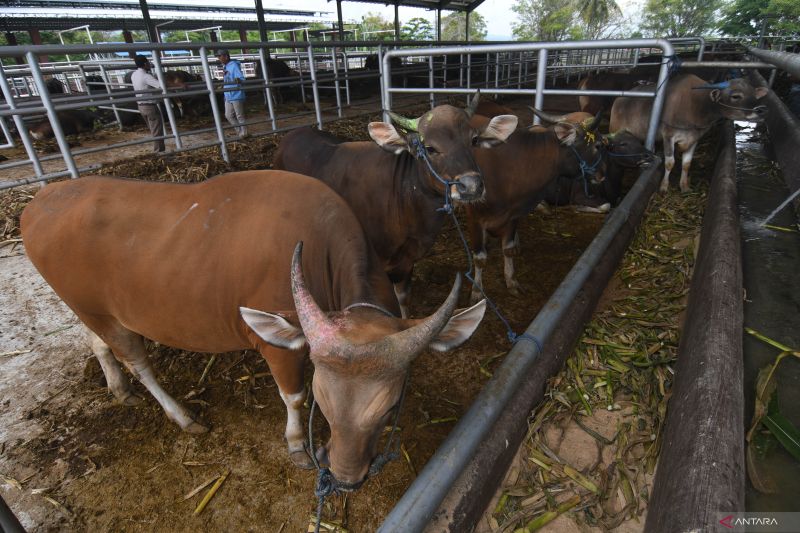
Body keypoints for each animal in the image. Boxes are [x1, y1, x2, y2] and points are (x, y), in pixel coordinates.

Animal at [20, 171, 488, 490]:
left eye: (390, 409)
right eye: (322, 400)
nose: (346, 476)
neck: (318, 249)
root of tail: (40, 199)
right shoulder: (279, 345)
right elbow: (292, 396)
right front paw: (297, 444)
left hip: (91, 309)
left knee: (98, 342)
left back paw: (118, 388)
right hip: (101, 313)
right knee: (137, 362)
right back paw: (182, 415)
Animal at [272, 96, 516, 316]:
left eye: (473, 140)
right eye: (429, 148)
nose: (471, 185)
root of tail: (292, 135)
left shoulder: (407, 261)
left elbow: (403, 297)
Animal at [466, 112, 604, 304]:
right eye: (598, 145)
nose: (602, 175)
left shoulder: (513, 215)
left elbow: (508, 249)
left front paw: (512, 281)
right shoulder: (475, 218)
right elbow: (479, 258)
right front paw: (477, 291)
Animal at [612, 74, 768, 192]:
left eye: (755, 95)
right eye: (736, 96)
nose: (761, 110)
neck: (695, 106)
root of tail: (619, 98)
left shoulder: (694, 138)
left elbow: (687, 163)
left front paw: (684, 186)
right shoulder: (668, 136)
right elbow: (670, 163)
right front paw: (664, 186)